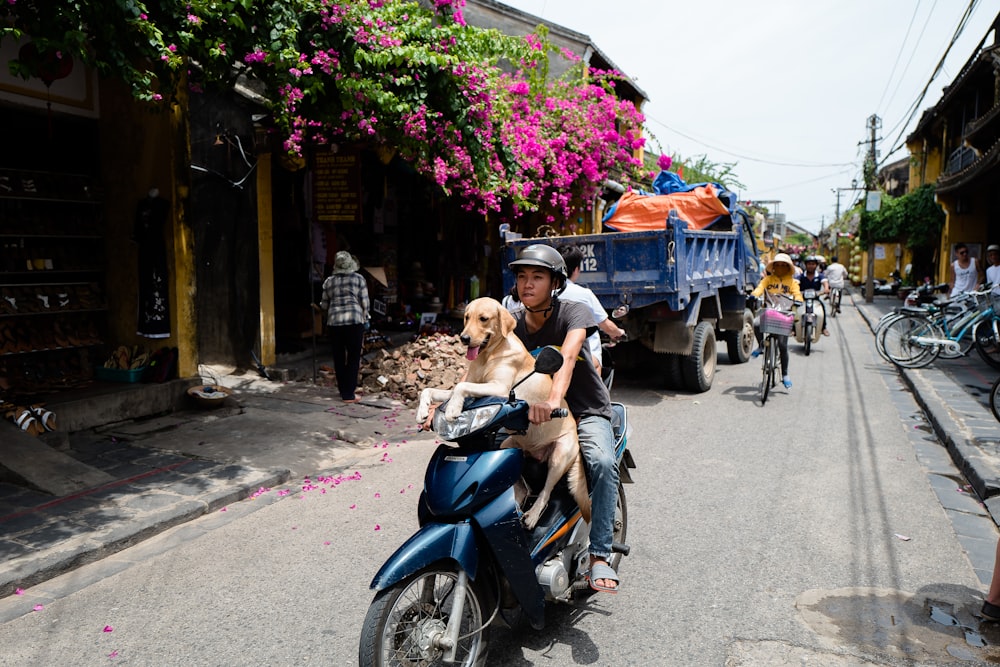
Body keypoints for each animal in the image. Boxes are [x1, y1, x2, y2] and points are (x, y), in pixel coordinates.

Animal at [416, 298, 592, 532]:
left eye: (483, 318)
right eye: (466, 317)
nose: (464, 338)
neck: (489, 354)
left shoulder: (500, 389)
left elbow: (461, 386)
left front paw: (453, 409)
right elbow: (430, 390)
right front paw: (424, 412)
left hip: (559, 456)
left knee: (546, 491)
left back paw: (532, 516)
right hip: (510, 444)